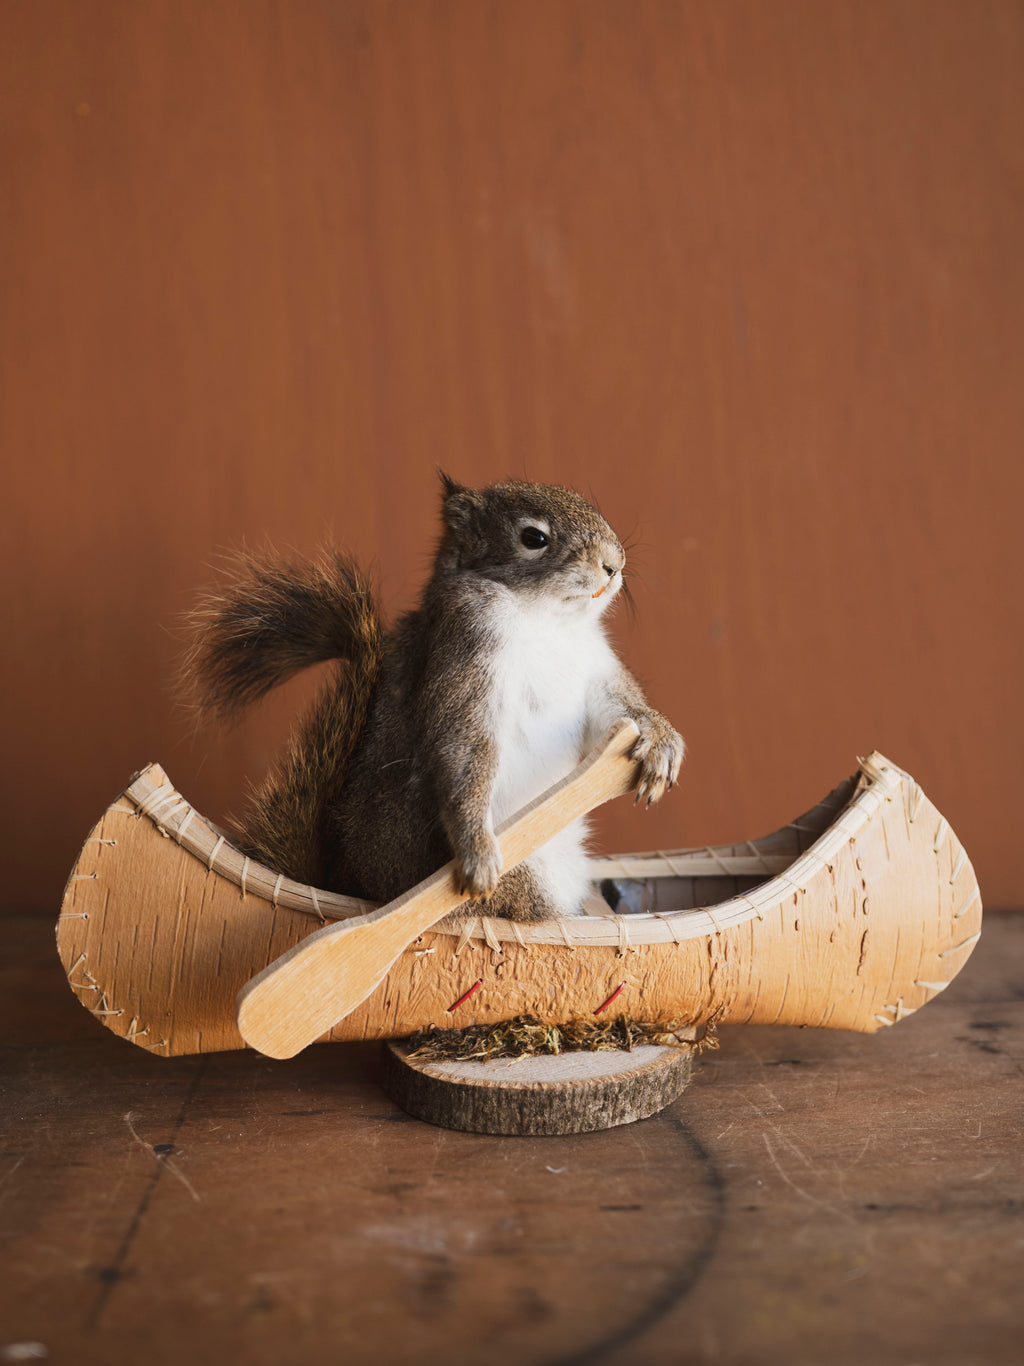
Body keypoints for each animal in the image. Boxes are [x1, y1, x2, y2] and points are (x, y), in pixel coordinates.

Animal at [184, 474, 684, 922]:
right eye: (534, 538)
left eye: (592, 506)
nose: (614, 562)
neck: (548, 620)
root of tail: (349, 882)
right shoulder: (464, 652)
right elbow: (463, 748)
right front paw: (475, 848)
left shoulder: (596, 671)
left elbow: (621, 713)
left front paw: (661, 742)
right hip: (522, 879)